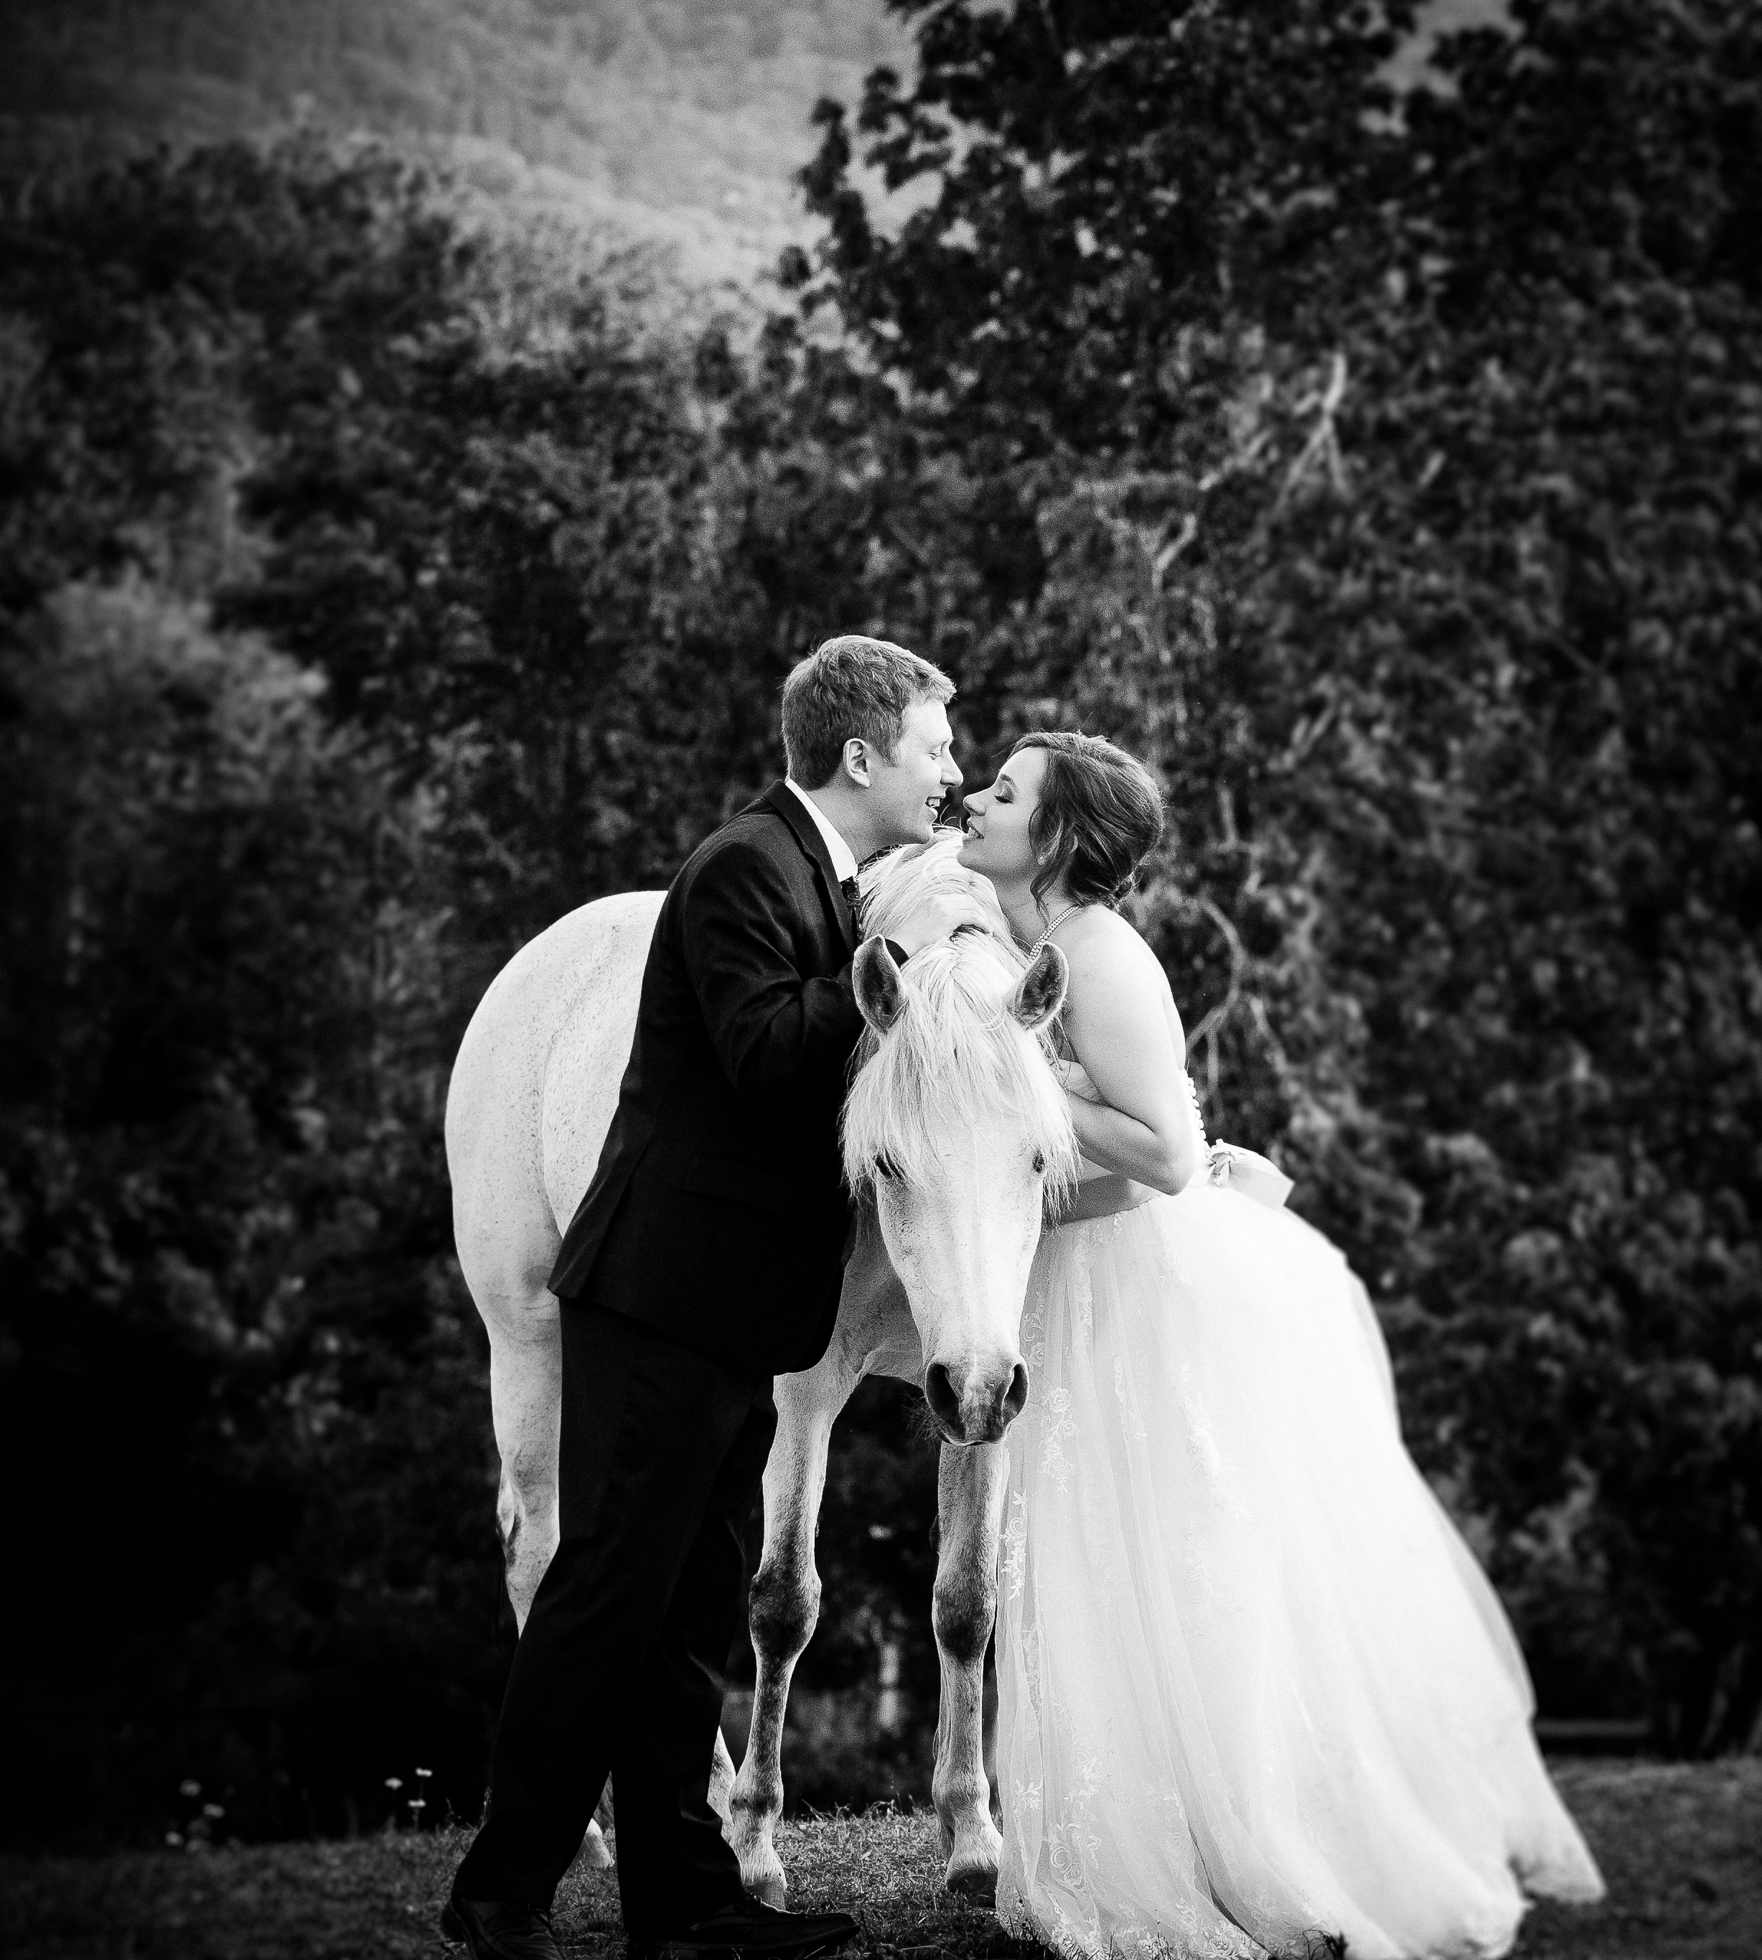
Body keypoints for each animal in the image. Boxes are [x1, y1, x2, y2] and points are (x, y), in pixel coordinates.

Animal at [444, 838, 1074, 1897]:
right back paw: (598, 1836)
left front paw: (973, 1841)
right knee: (543, 1548)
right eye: (889, 1165)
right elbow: (784, 1605)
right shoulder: (807, 1398)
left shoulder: (977, 1384)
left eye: (1034, 1160)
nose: (982, 1384)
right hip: (527, 1342)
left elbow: (965, 1603)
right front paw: (753, 1846)